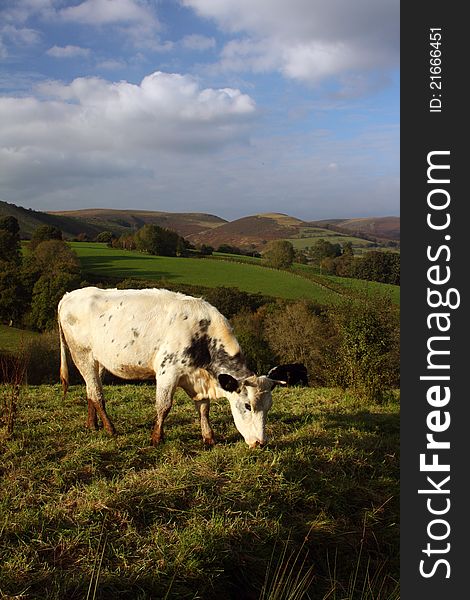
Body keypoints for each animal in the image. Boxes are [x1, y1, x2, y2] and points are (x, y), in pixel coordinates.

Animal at [58, 288, 286, 448]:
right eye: (247, 406)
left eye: (269, 407)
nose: (261, 443)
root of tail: (70, 295)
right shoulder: (168, 372)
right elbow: (164, 406)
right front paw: (156, 438)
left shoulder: (197, 378)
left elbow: (204, 408)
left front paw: (208, 437)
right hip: (82, 355)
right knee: (96, 394)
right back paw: (110, 428)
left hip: (99, 360)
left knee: (90, 390)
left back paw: (92, 425)